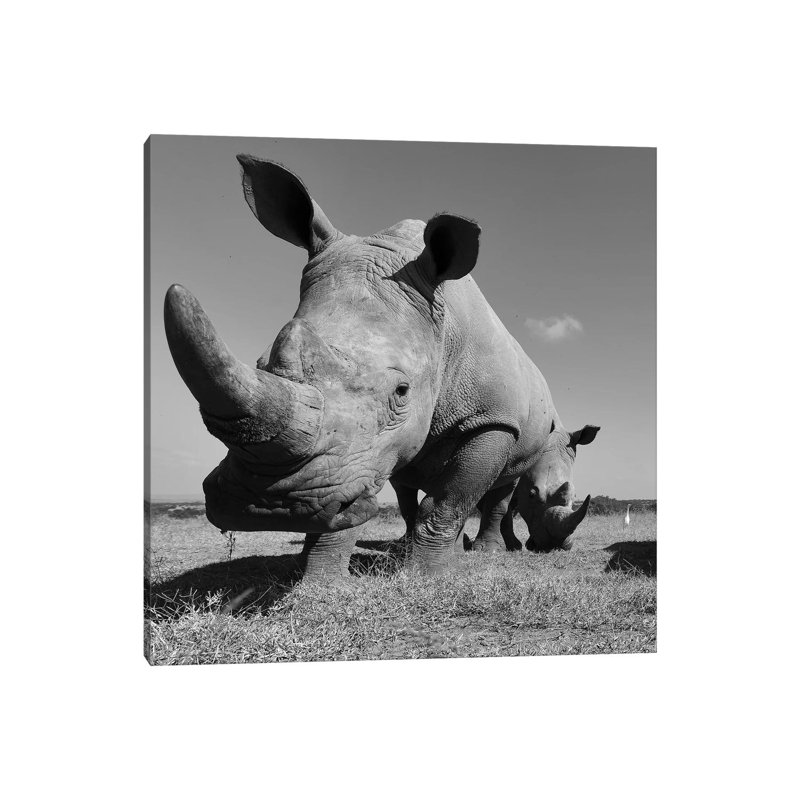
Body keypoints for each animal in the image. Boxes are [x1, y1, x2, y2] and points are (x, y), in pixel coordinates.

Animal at [163, 156, 597, 579]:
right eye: (261, 363)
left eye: (401, 392)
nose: (270, 503)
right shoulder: (361, 455)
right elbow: (363, 500)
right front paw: (320, 583)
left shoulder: (491, 419)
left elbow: (450, 500)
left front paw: (427, 578)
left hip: (520, 429)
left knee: (497, 488)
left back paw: (481, 552)